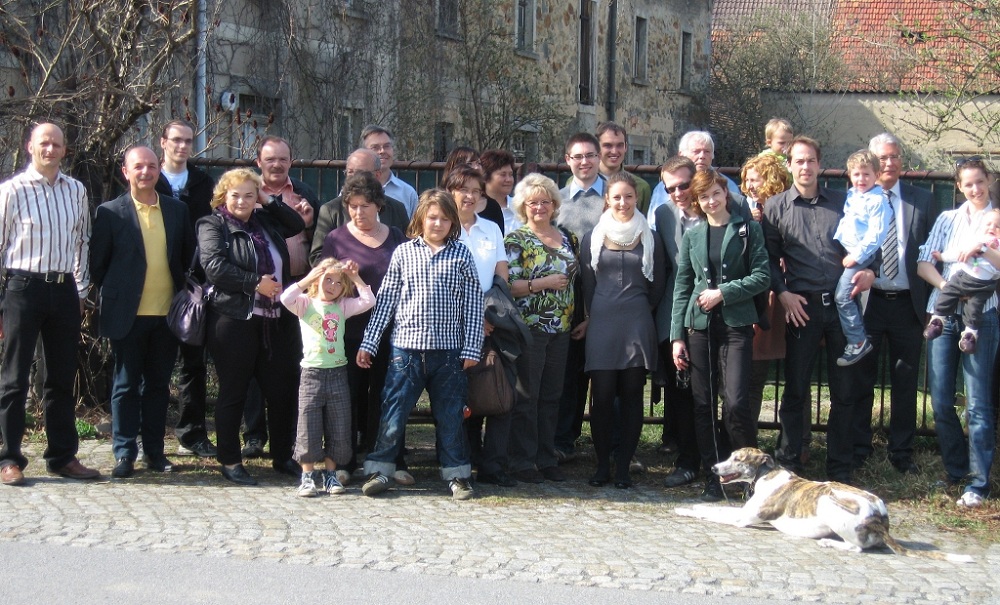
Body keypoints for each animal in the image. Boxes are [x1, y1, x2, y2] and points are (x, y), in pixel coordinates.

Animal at [676, 448, 972, 560]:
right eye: (729, 455)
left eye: (738, 459)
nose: (713, 468)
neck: (765, 474)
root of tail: (880, 517)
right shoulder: (744, 512)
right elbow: (712, 509)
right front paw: (692, 506)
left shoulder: (743, 519)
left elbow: (714, 514)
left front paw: (683, 509)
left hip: (830, 502)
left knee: (857, 548)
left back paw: (830, 542)